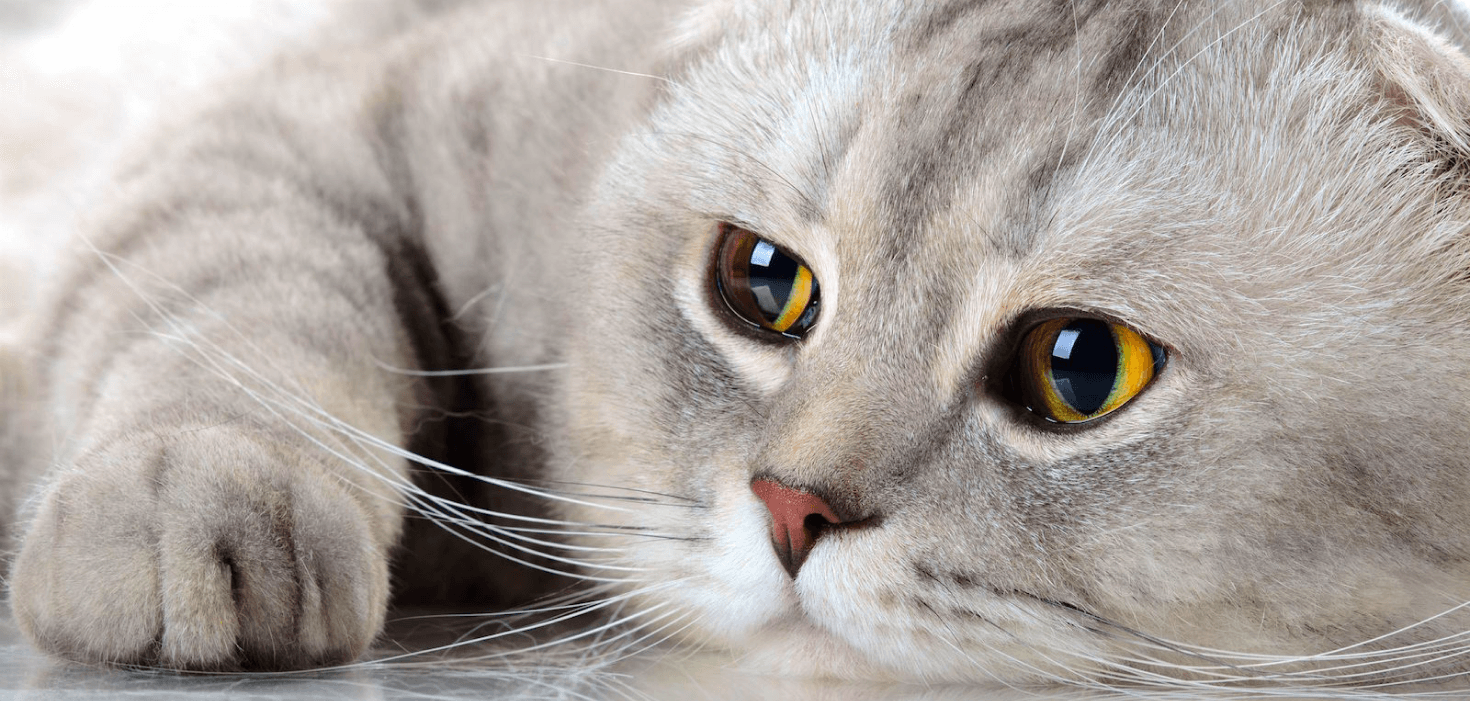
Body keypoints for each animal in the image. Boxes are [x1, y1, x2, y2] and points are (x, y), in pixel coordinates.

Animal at [2, 0, 1470, 687]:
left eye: (1078, 368)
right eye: (762, 283)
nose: (788, 507)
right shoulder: (312, 115)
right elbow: (234, 303)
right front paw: (193, 503)